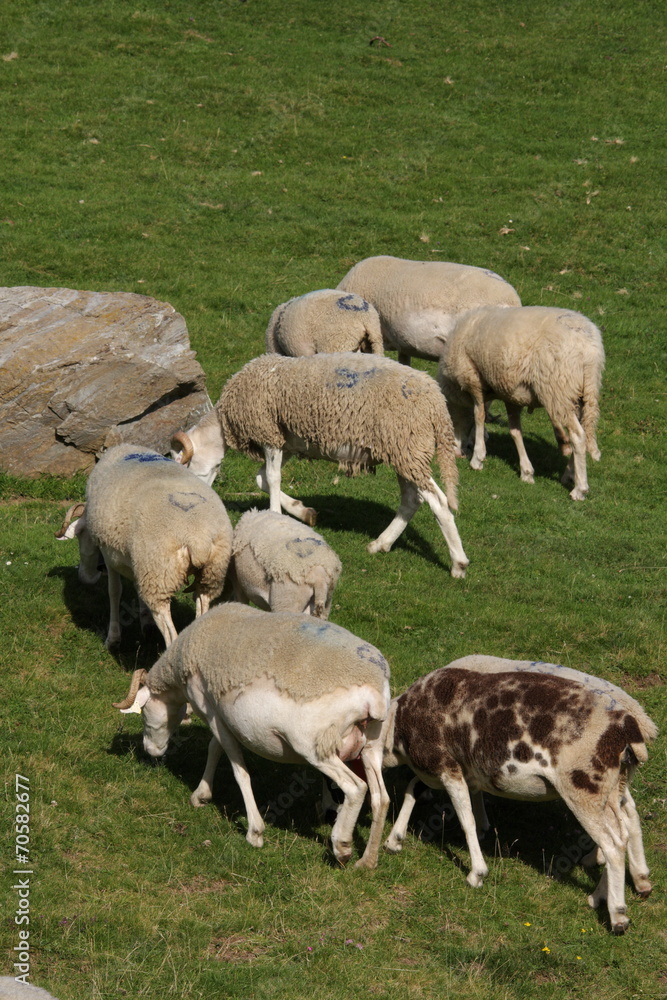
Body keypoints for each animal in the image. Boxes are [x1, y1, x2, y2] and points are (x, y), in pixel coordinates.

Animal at [56, 444, 233, 648]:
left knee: (170, 633)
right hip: (210, 575)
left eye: (80, 535)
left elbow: (114, 591)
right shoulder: (138, 564)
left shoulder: (111, 556)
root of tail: (197, 538)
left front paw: (113, 638)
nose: (84, 578)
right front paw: (145, 623)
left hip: (158, 576)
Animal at [113, 602, 391, 868]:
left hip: (315, 746)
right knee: (381, 798)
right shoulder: (220, 714)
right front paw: (201, 795)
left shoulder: (208, 707)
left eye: (144, 711)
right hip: (371, 746)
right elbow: (215, 748)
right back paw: (367, 861)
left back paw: (342, 846)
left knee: (356, 788)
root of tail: (373, 693)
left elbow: (238, 770)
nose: (150, 750)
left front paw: (254, 832)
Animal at [170, 352, 469, 579]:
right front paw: (303, 512)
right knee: (411, 499)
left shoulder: (270, 433)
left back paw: (458, 564)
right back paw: (381, 544)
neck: (225, 422)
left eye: (185, 468)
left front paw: (275, 516)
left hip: (407, 446)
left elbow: (272, 477)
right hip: (405, 451)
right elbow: (262, 479)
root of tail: (436, 403)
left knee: (439, 503)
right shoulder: (288, 441)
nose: (202, 500)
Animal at [380, 658, 657, 933]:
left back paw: (618, 915)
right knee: (623, 831)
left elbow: (464, 817)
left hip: (583, 789)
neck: (399, 725)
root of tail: (629, 731)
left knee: (613, 846)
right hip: (611, 788)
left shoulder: (446, 766)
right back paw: (606, 893)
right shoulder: (453, 769)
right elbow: (413, 789)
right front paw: (395, 839)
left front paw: (477, 873)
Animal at [437, 305, 605, 499]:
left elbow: (479, 415)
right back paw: (569, 474)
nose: (457, 454)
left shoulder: (472, 378)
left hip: (558, 390)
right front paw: (526, 472)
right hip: (581, 394)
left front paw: (478, 458)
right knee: (583, 430)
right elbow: (515, 432)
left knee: (578, 436)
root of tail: (590, 350)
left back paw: (580, 488)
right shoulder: (510, 393)